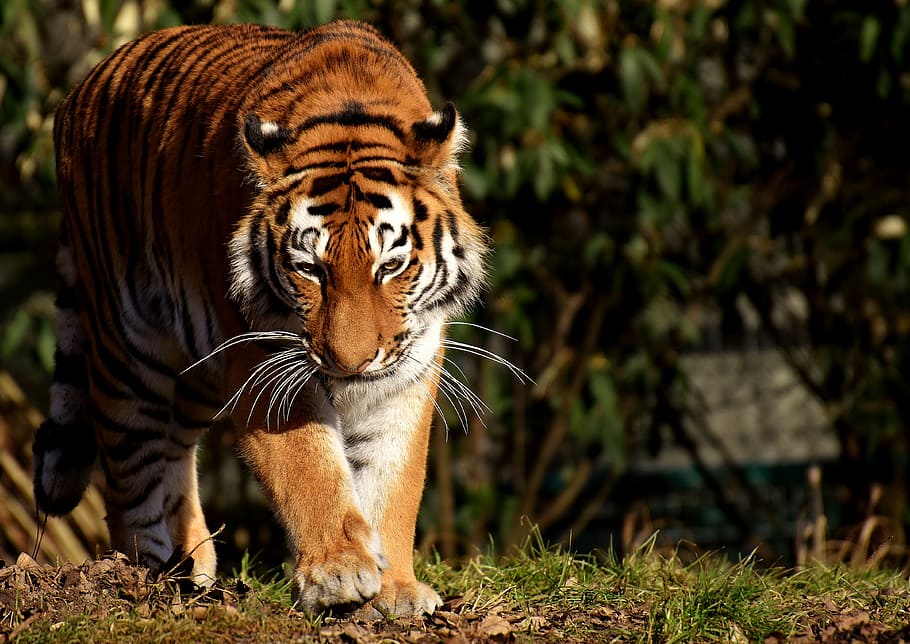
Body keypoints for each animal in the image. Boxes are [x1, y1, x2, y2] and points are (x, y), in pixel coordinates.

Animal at [32, 19, 488, 618]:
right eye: (310, 268)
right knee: (133, 467)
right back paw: (146, 580)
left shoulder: (407, 365)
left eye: (391, 265)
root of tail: (77, 90)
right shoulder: (259, 357)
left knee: (175, 449)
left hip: (196, 371)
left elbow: (395, 476)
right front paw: (339, 572)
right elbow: (308, 465)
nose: (350, 362)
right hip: (128, 348)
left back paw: (193, 566)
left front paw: (397, 591)